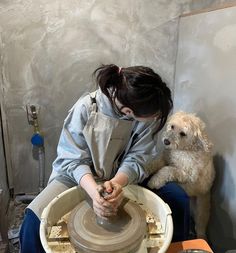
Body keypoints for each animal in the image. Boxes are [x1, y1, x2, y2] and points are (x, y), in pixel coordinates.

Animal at [148, 111, 216, 239]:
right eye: (172, 126)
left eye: (183, 133)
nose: (166, 141)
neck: (183, 149)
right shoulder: (166, 157)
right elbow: (156, 162)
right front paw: (146, 167)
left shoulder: (187, 174)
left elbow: (167, 170)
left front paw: (155, 180)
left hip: (201, 210)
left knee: (200, 228)